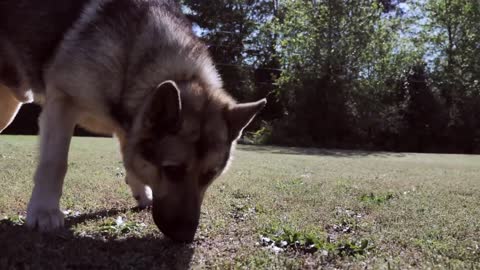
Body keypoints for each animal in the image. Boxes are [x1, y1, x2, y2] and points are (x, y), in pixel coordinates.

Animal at [0, 0, 266, 243]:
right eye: (172, 170)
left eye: (210, 174)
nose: (186, 236)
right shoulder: (62, 105)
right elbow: (54, 163)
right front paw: (44, 211)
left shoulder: (131, 126)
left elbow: (130, 162)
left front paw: (142, 192)